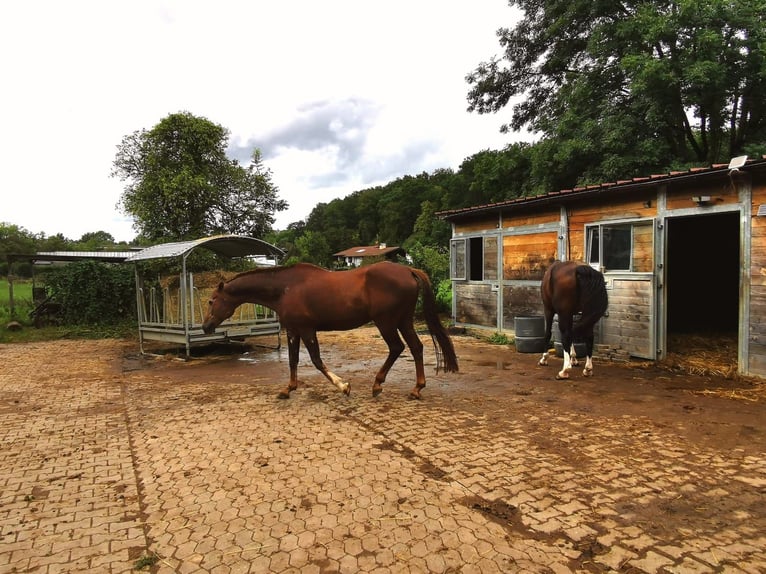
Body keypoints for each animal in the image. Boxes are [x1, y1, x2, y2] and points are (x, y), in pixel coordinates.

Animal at [201, 262, 460, 400]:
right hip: (403, 321)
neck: (285, 288)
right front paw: (288, 388)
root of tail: (408, 270)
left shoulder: (307, 330)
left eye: (212, 301)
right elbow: (293, 360)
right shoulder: (293, 330)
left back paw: (379, 384)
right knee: (416, 348)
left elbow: (316, 360)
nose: (205, 327)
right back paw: (415, 388)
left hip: (386, 322)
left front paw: (343, 386)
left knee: (397, 348)